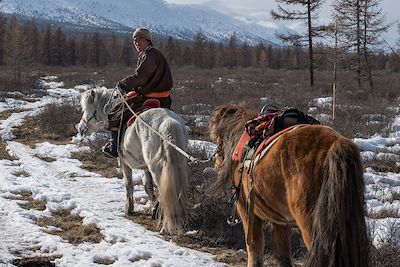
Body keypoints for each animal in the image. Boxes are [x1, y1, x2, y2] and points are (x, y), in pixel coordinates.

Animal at [78, 88, 191, 234]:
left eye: (88, 108)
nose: (80, 128)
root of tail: (168, 123)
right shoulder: (145, 167)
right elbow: (148, 187)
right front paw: (153, 209)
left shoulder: (123, 162)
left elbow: (128, 184)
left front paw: (129, 208)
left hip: (157, 168)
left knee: (165, 190)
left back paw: (165, 226)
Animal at [209, 104, 368, 267]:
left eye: (217, 139)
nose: (216, 162)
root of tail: (335, 144)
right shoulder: (279, 218)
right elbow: (282, 254)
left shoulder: (246, 208)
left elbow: (254, 245)